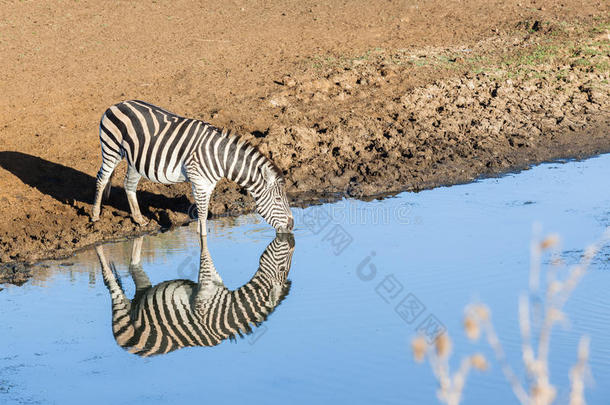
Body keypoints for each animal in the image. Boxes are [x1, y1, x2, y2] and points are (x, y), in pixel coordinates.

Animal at [90, 99, 294, 234]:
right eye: (278, 200)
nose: (292, 226)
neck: (220, 158)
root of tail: (117, 104)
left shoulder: (209, 184)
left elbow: (205, 215)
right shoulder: (199, 183)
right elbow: (202, 218)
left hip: (135, 160)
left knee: (129, 185)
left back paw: (140, 220)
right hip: (111, 149)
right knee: (101, 178)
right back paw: (95, 216)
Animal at [94, 232, 294, 356]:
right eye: (283, 268)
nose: (291, 240)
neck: (227, 311)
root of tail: (127, 347)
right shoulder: (204, 292)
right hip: (120, 309)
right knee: (110, 282)